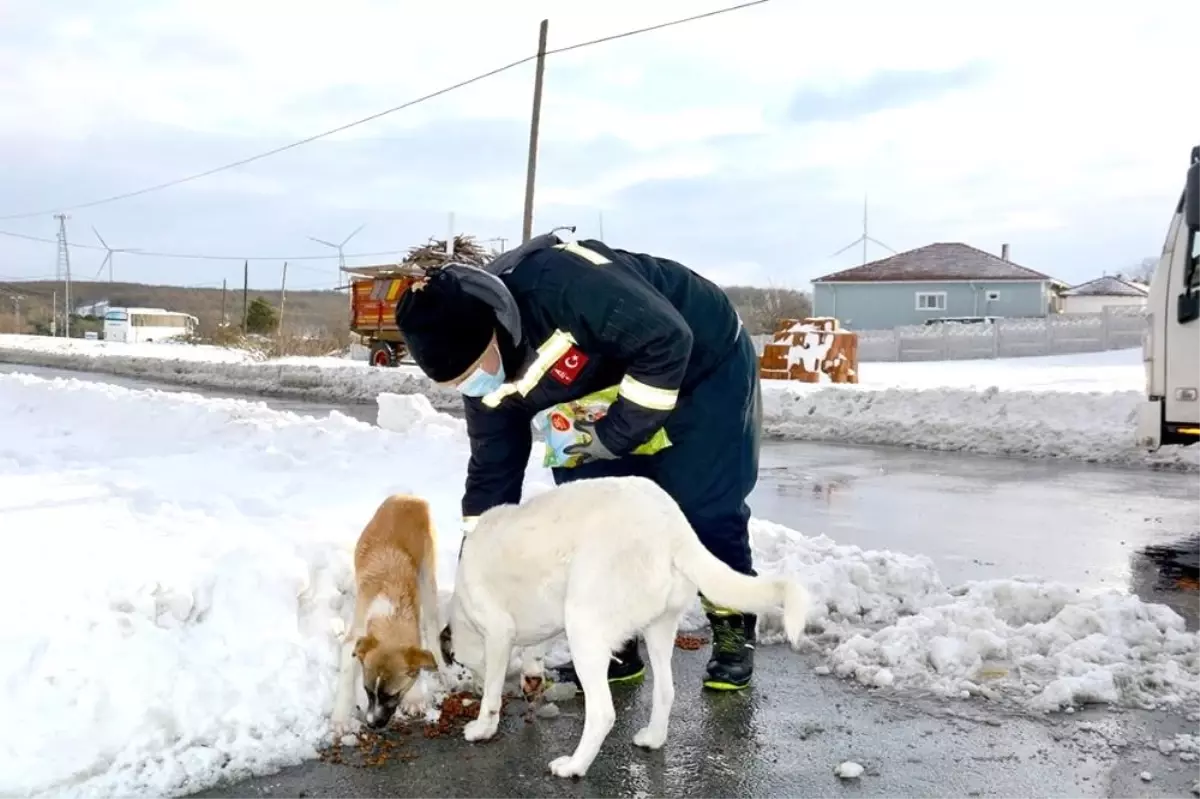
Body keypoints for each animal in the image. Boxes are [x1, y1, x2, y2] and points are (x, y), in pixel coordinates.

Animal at [328, 491, 446, 734]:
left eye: (393, 695)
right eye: (366, 690)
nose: (372, 725)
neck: (392, 613)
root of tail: (409, 497)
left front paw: (414, 697)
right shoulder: (355, 638)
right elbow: (346, 676)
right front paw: (341, 718)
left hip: (427, 578)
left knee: (432, 624)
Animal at [446, 475, 811, 772]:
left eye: (464, 667)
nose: (470, 686)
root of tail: (673, 527)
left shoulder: (498, 633)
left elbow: (492, 692)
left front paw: (483, 726)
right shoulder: (545, 617)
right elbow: (535, 650)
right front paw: (531, 675)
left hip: (584, 626)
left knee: (603, 713)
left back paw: (574, 766)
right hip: (658, 629)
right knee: (665, 690)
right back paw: (653, 738)